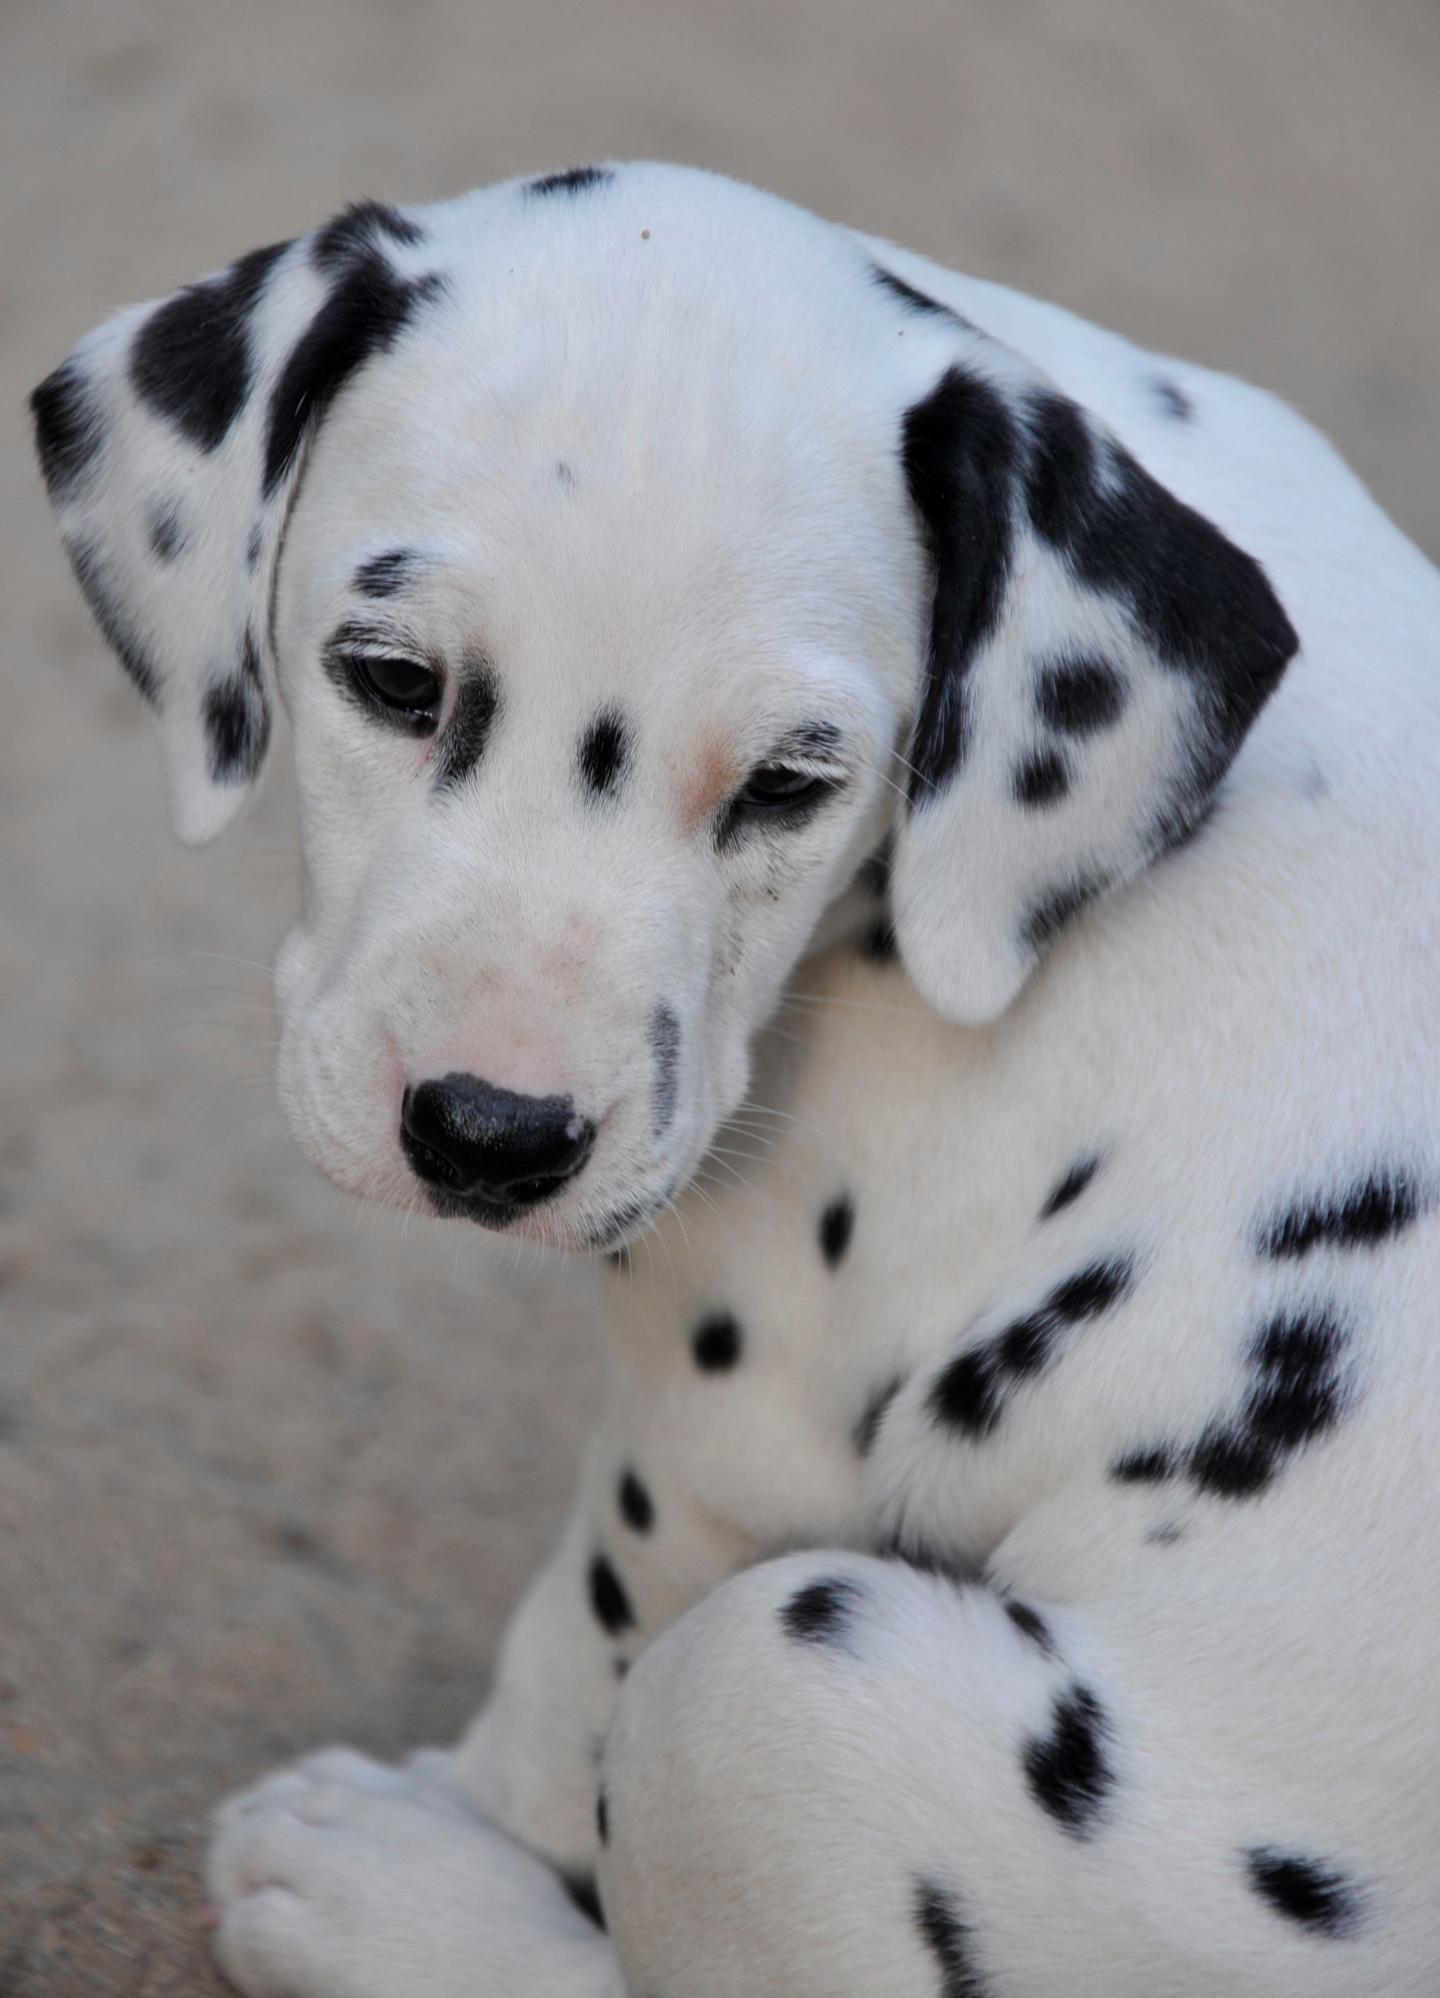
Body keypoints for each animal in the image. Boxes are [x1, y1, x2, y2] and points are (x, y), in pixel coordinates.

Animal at [30, 163, 1438, 1990]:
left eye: (790, 780)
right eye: (393, 680)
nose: (492, 1135)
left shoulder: (712, 1430)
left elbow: (566, 1665)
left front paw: (471, 1817)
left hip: (776, 1680)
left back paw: (384, 1900)